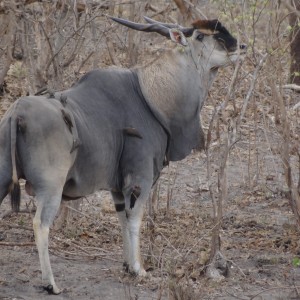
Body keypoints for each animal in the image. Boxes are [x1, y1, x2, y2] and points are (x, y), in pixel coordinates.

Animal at [0, 15, 245, 292]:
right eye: (201, 36)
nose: (240, 46)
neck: (149, 96)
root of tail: (18, 113)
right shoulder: (140, 179)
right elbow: (135, 218)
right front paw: (139, 269)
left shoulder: (117, 189)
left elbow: (122, 219)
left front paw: (128, 265)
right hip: (50, 188)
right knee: (40, 224)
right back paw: (50, 283)